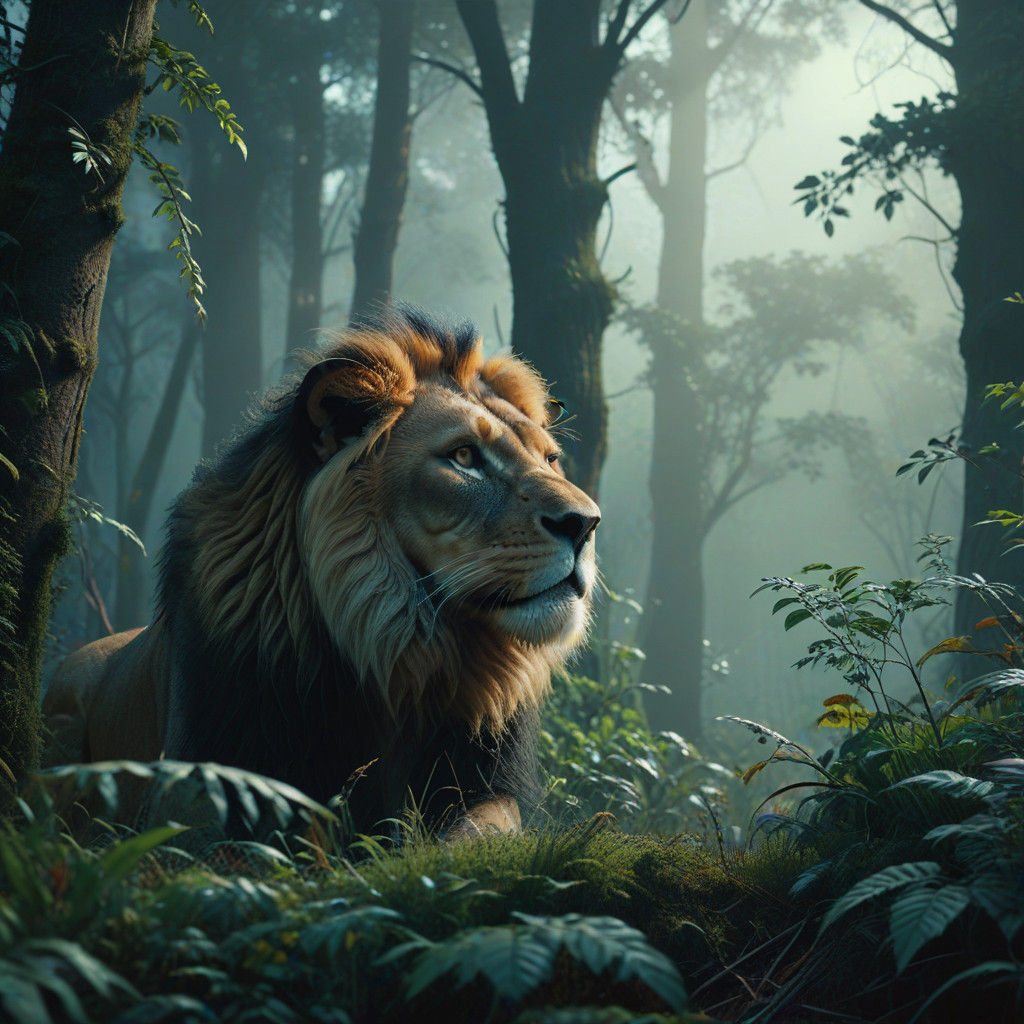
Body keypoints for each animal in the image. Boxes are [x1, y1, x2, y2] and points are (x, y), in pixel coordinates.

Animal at [42, 308, 600, 837]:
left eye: (550, 458)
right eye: (463, 456)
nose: (587, 523)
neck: (401, 656)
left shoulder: (486, 788)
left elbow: (475, 836)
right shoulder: (196, 784)